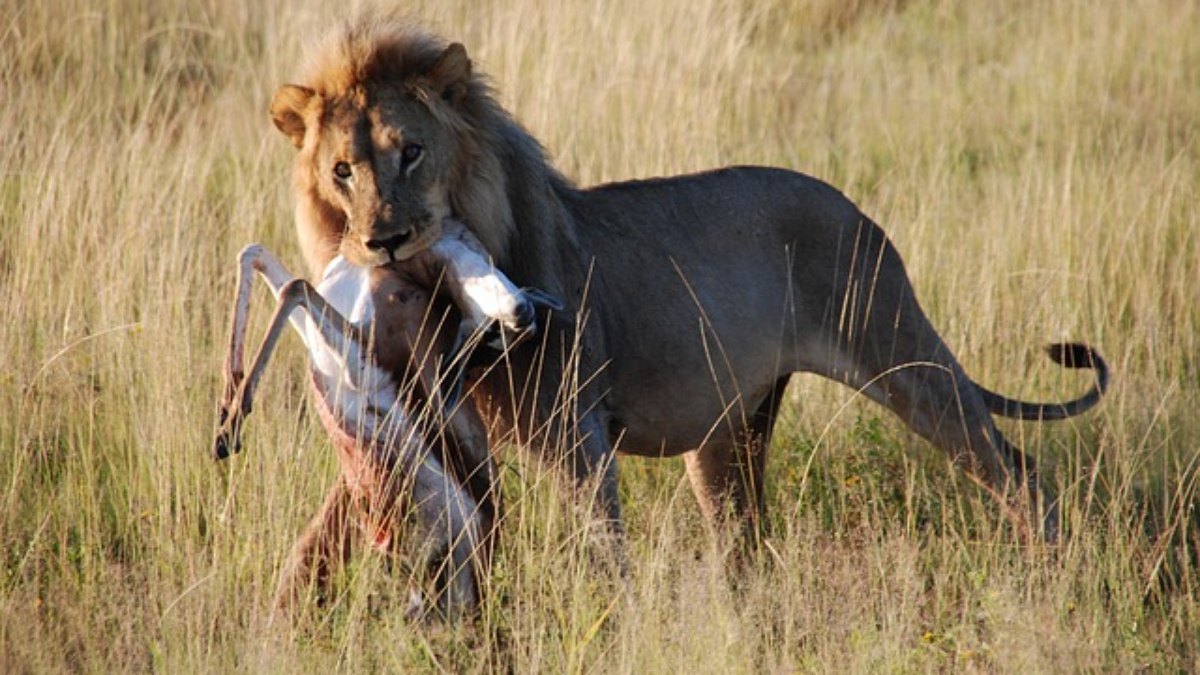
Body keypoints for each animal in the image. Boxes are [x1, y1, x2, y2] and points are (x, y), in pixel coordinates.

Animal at [268, 14, 1108, 559]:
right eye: (342, 170)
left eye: (410, 151)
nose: (381, 239)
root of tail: (856, 208)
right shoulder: (426, 426)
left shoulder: (577, 434)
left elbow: (600, 554)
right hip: (731, 433)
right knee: (745, 541)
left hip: (903, 355)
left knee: (1016, 469)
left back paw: (1052, 575)